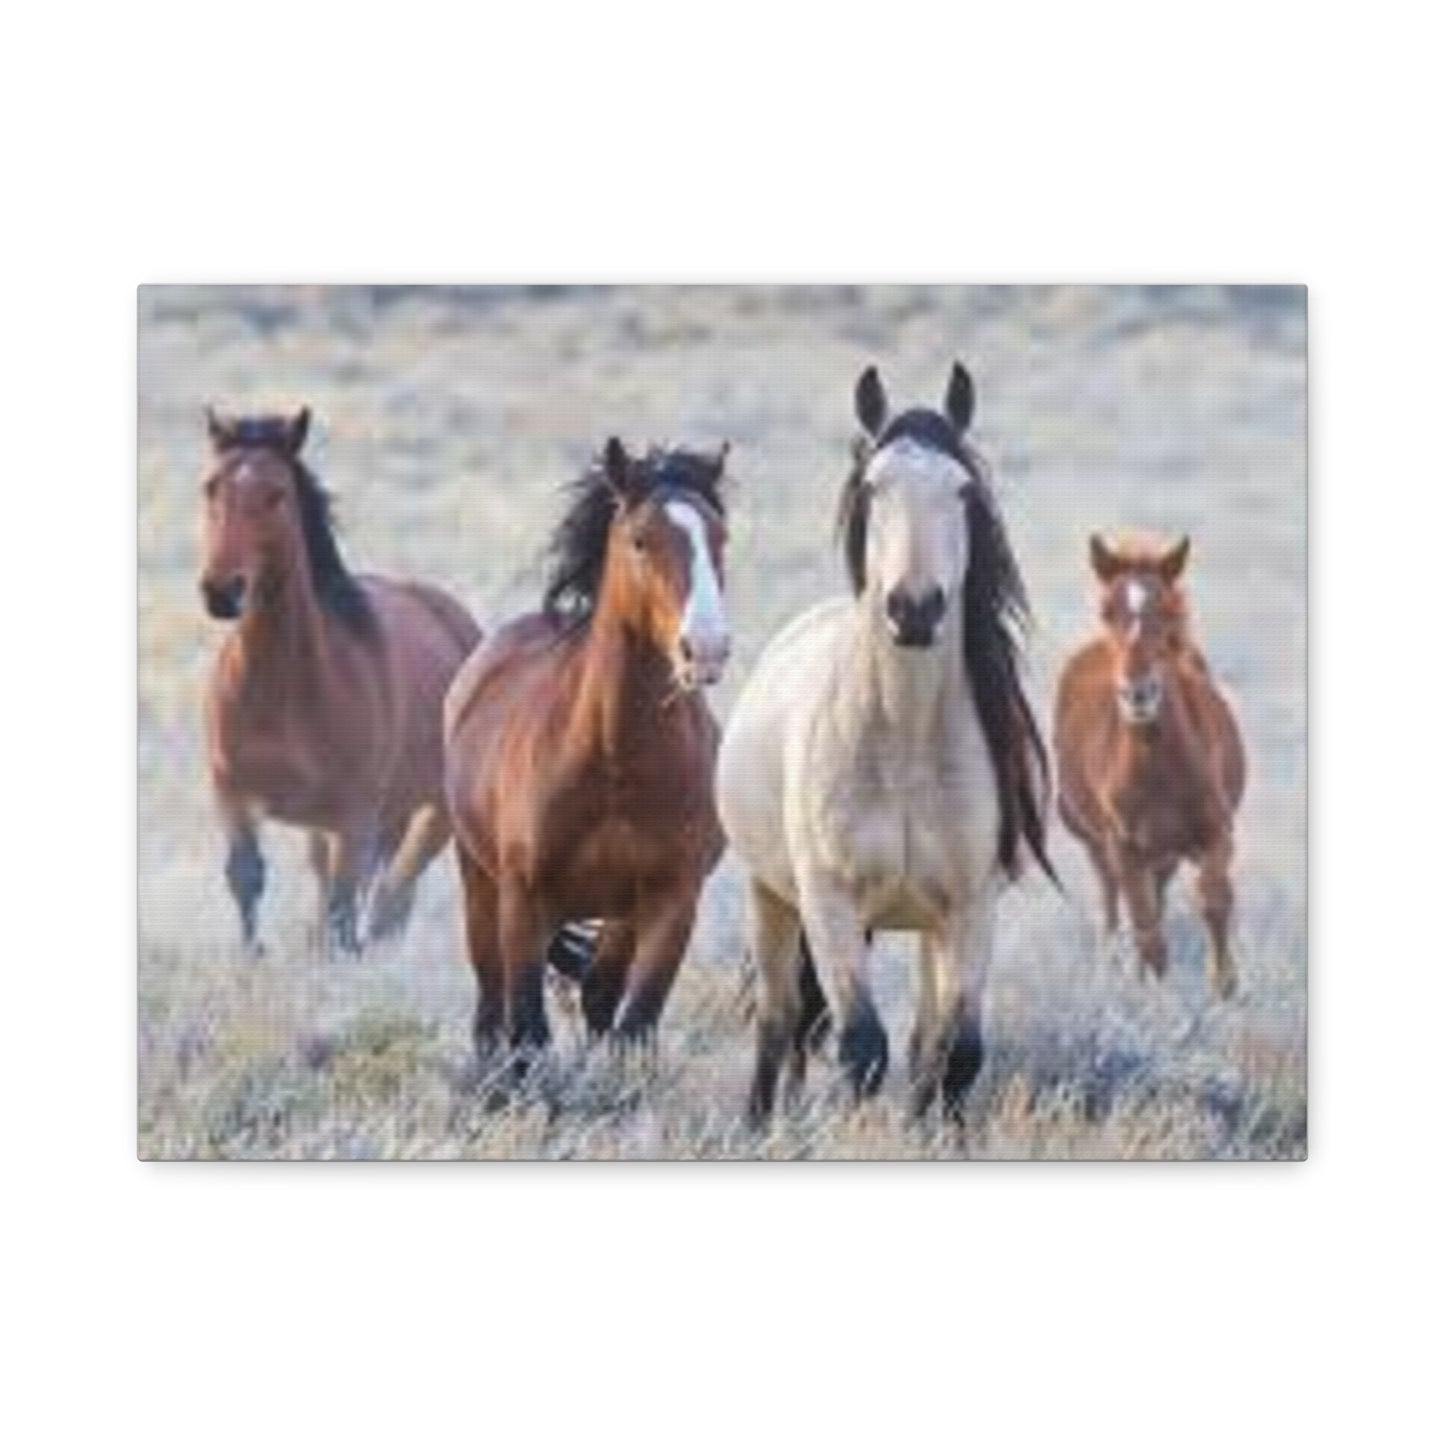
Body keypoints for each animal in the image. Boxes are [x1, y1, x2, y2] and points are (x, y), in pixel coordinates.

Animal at [198, 407, 481, 954]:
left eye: (276, 493)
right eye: (210, 488)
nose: (222, 592)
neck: (279, 692)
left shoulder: (353, 817)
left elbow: (344, 908)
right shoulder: (234, 797)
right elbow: (246, 878)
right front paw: (252, 958)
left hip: (430, 812)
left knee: (391, 898)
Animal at [444, 437, 732, 1062]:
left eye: (721, 537)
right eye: (641, 540)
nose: (706, 649)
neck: (614, 762)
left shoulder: (671, 901)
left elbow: (634, 1025)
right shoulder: (524, 900)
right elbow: (527, 1030)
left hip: (620, 918)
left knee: (600, 994)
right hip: (480, 884)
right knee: (490, 1007)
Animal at [717, 363, 1053, 1125]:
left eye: (962, 490)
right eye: (873, 487)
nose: (914, 609)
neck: (903, 745)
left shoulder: (970, 907)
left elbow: (954, 1055)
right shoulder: (829, 903)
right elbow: (860, 1047)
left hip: (928, 929)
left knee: (923, 1036)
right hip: (769, 897)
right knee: (780, 1021)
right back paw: (760, 1124)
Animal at [1053, 533, 1245, 998]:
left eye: (1168, 611)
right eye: (1107, 610)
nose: (1137, 694)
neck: (1159, 770)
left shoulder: (1216, 831)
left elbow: (1214, 898)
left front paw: (1225, 988)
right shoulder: (1124, 847)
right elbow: (1145, 929)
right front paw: (1158, 1000)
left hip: (1165, 853)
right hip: (1099, 844)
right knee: (1113, 903)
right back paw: (1112, 967)